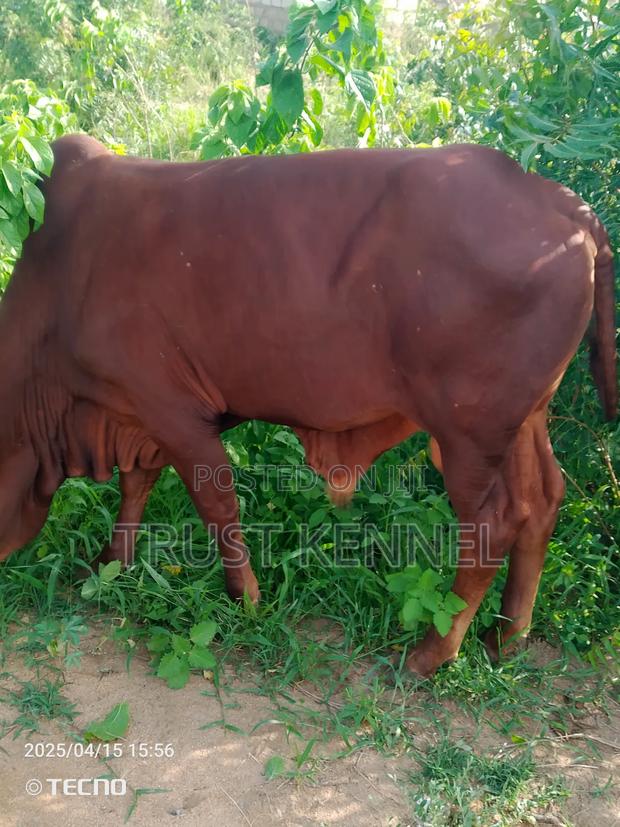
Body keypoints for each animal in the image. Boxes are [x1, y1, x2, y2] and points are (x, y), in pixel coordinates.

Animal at [0, 134, 616, 678]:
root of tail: (562, 203)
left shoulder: (173, 411)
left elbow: (217, 505)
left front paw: (246, 603)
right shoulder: (134, 414)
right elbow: (136, 486)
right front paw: (111, 564)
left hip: (467, 430)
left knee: (494, 523)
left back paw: (432, 653)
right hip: (523, 420)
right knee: (543, 500)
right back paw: (507, 637)